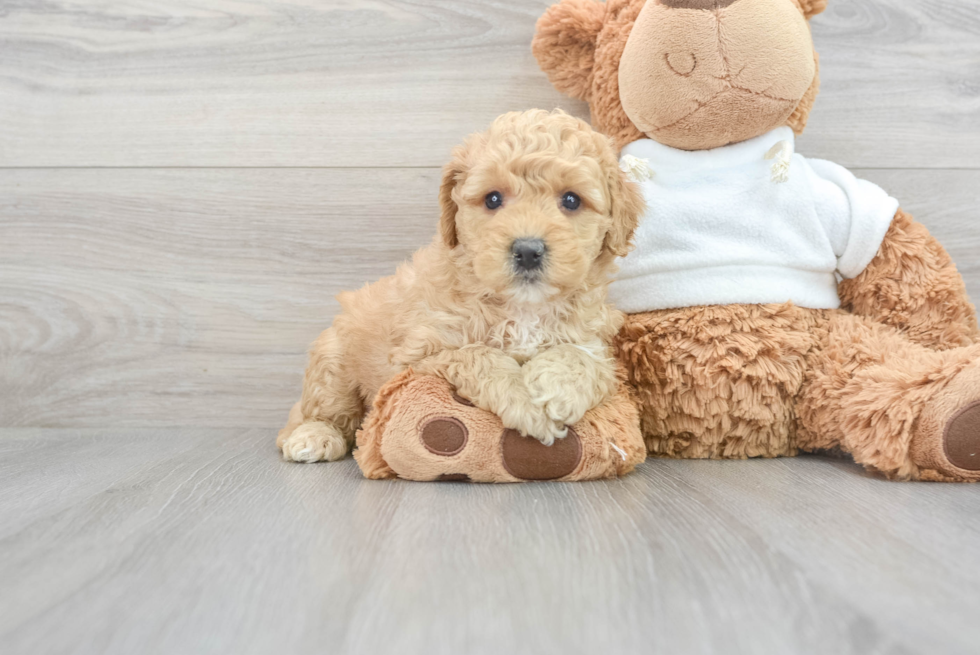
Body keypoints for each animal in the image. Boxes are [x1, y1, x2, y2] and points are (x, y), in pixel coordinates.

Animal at [276, 111, 648, 462]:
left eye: (571, 200)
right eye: (493, 199)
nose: (528, 250)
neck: (523, 308)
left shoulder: (594, 341)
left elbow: (584, 358)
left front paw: (555, 392)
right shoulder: (417, 356)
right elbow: (476, 354)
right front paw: (523, 402)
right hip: (334, 359)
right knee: (317, 411)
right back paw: (313, 436)